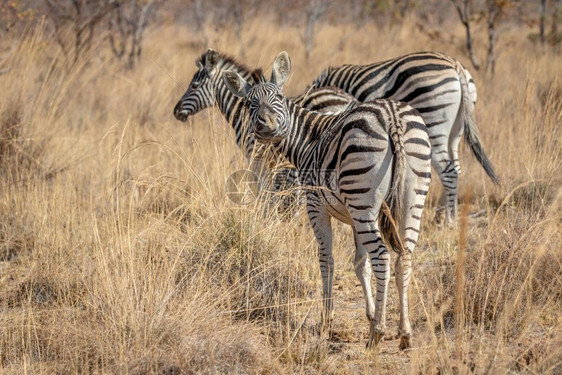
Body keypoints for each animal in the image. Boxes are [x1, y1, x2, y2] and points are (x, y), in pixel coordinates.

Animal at [172, 48, 354, 216]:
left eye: (194, 86)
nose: (176, 111)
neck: (241, 115)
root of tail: (346, 98)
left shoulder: (255, 154)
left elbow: (263, 190)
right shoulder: (273, 161)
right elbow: (272, 191)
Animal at [221, 51, 430, 352]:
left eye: (278, 97)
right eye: (251, 104)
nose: (266, 125)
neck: (309, 138)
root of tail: (391, 117)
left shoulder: (315, 206)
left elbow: (326, 259)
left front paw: (327, 319)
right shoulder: (354, 216)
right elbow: (360, 263)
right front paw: (370, 313)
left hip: (365, 195)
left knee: (383, 256)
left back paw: (377, 334)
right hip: (410, 195)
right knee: (405, 257)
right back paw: (405, 333)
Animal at [310, 51, 498, 225]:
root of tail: (456, 65)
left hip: (433, 122)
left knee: (449, 171)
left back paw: (449, 220)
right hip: (456, 130)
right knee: (456, 169)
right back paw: (442, 214)